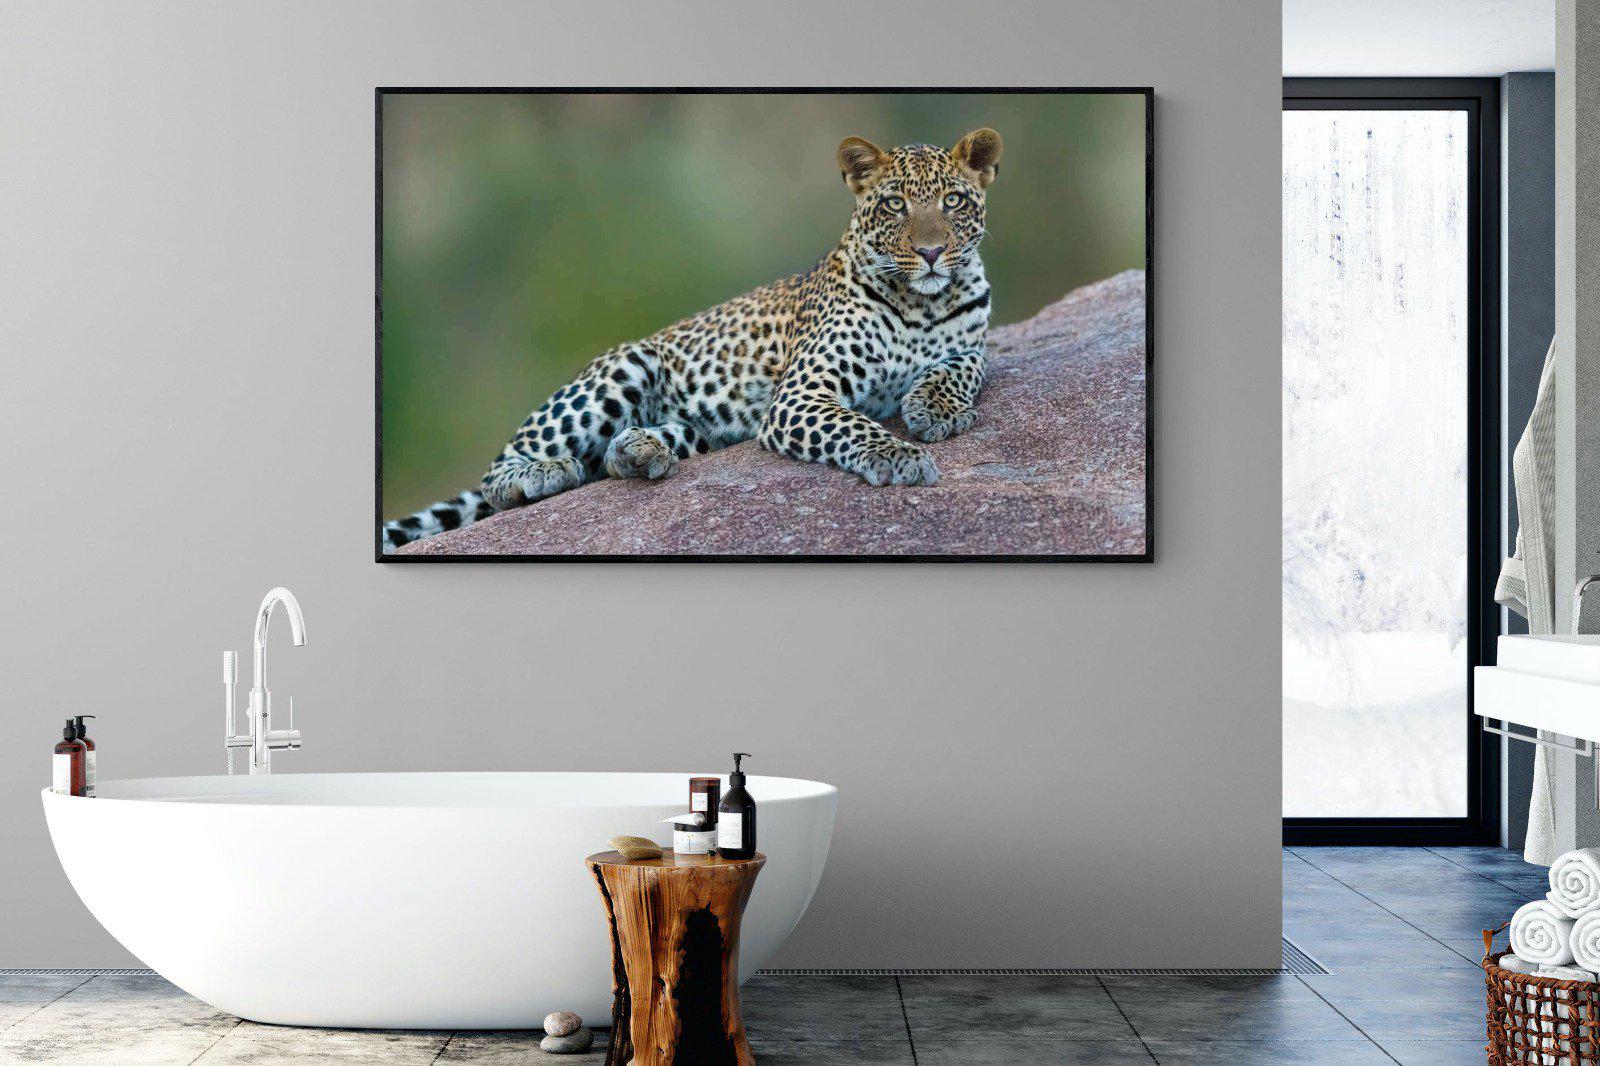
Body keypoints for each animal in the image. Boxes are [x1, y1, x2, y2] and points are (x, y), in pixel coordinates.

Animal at [382, 127, 1002, 552]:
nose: (931, 252)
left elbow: (962, 367)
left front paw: (933, 408)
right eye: (896, 204)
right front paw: (900, 454)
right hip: (620, 370)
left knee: (621, 454)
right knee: (500, 471)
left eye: (952, 201)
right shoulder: (801, 394)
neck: (923, 302)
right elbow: (853, 425)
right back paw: (545, 472)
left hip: (701, 429)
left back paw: (638, 452)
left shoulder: (972, 344)